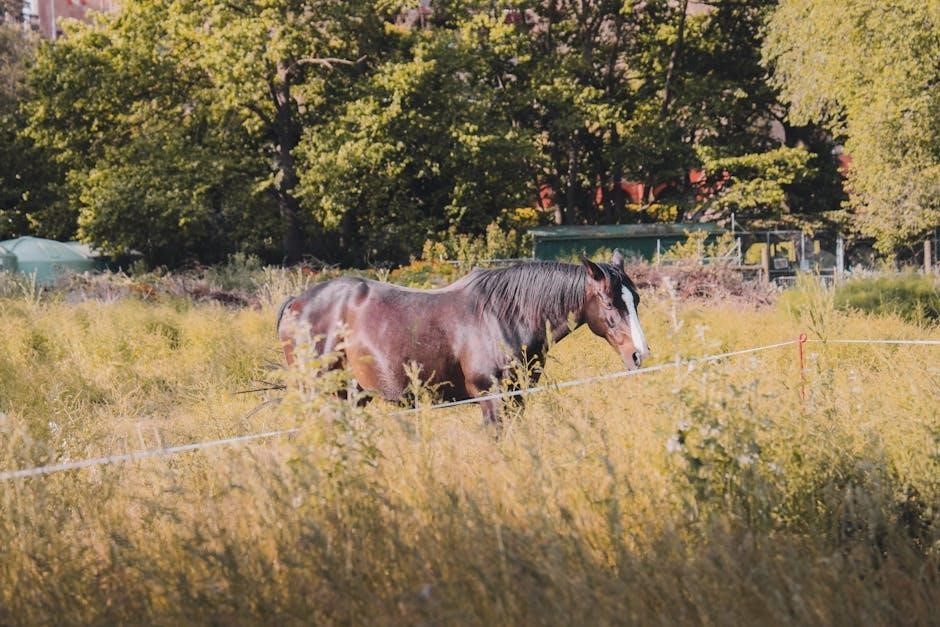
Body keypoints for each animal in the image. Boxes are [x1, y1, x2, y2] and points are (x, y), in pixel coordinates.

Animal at [276, 249, 648, 422]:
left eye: (636, 299)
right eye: (609, 302)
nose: (639, 354)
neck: (504, 316)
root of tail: (296, 302)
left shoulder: (516, 397)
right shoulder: (491, 397)